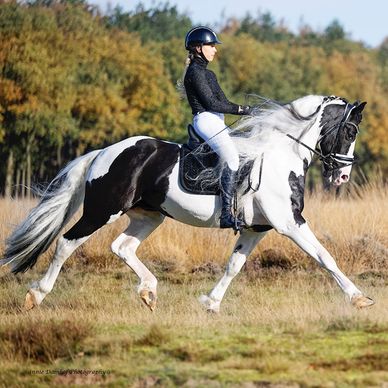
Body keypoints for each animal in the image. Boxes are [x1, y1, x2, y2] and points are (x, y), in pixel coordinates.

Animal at [1, 94, 374, 312]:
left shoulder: (257, 229)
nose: (342, 176)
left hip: (149, 216)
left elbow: (234, 265)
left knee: (122, 247)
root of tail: (105, 152)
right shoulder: (289, 223)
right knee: (67, 242)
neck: (282, 155)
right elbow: (325, 256)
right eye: (350, 131)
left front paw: (210, 302)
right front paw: (359, 297)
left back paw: (148, 291)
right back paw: (36, 295)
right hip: (103, 210)